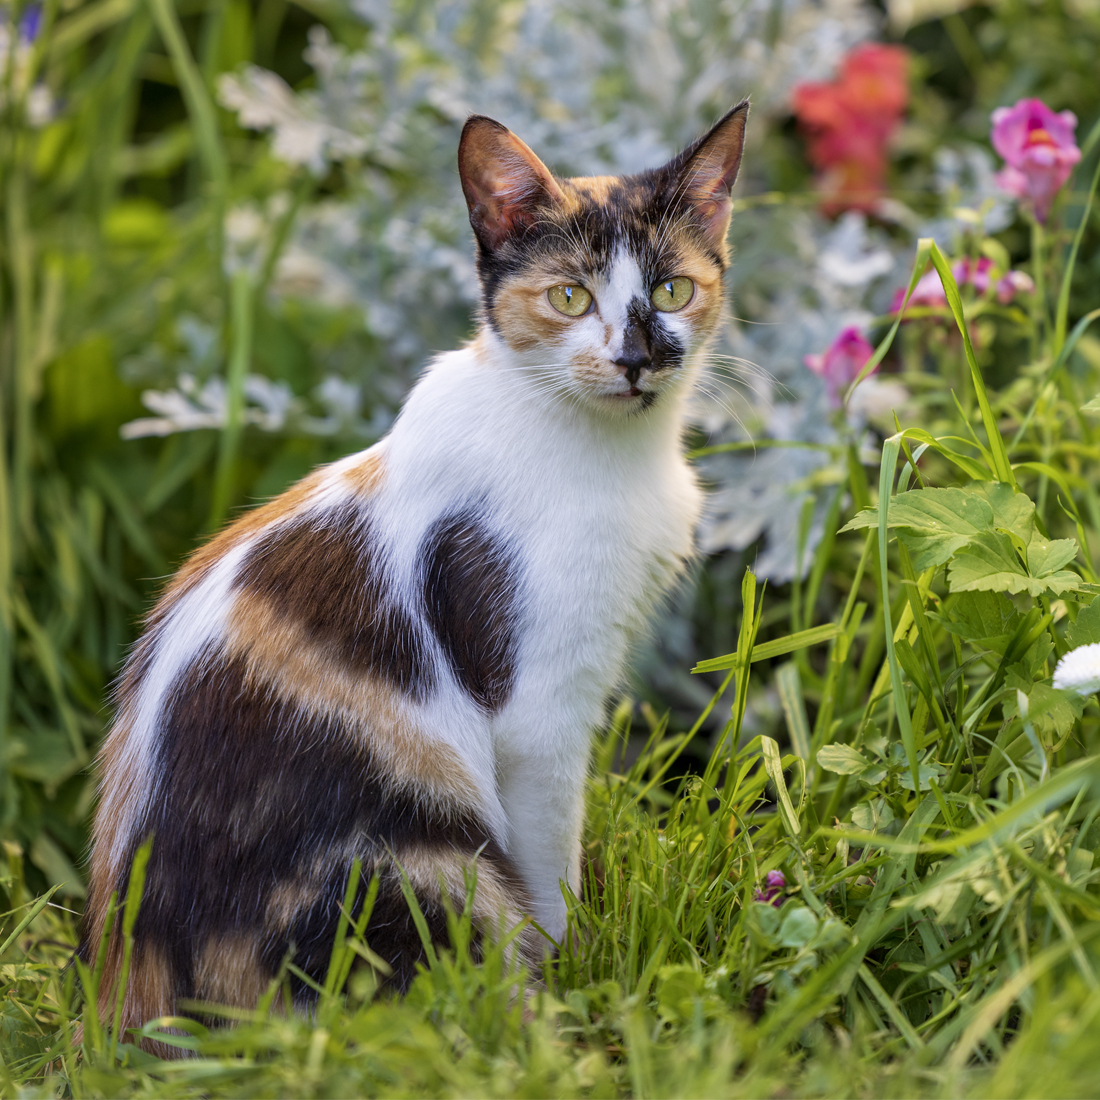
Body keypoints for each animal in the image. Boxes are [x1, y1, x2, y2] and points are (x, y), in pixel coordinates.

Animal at [77, 99, 748, 1042]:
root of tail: (122, 999)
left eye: (673, 289)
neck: (599, 448)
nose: (636, 357)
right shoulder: (535, 711)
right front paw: (577, 972)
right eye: (570, 297)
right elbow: (550, 866)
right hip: (412, 869)